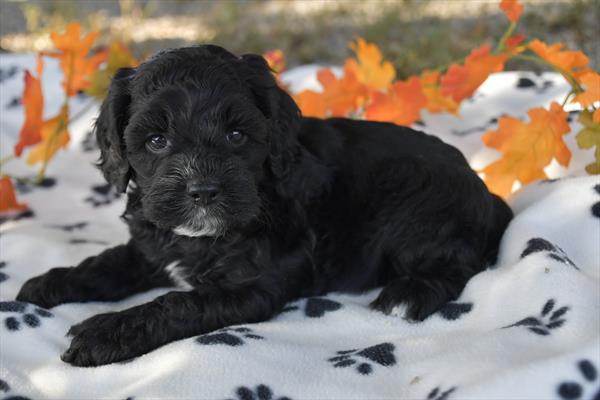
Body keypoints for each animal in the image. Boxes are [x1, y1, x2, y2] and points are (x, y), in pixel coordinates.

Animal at [17, 45, 510, 368]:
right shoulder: (151, 246)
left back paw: (406, 296)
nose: (203, 191)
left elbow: (179, 302)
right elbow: (109, 263)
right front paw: (50, 283)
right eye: (156, 141)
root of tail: (485, 192)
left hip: (419, 209)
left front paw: (103, 332)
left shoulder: (254, 284)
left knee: (460, 263)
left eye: (237, 135)